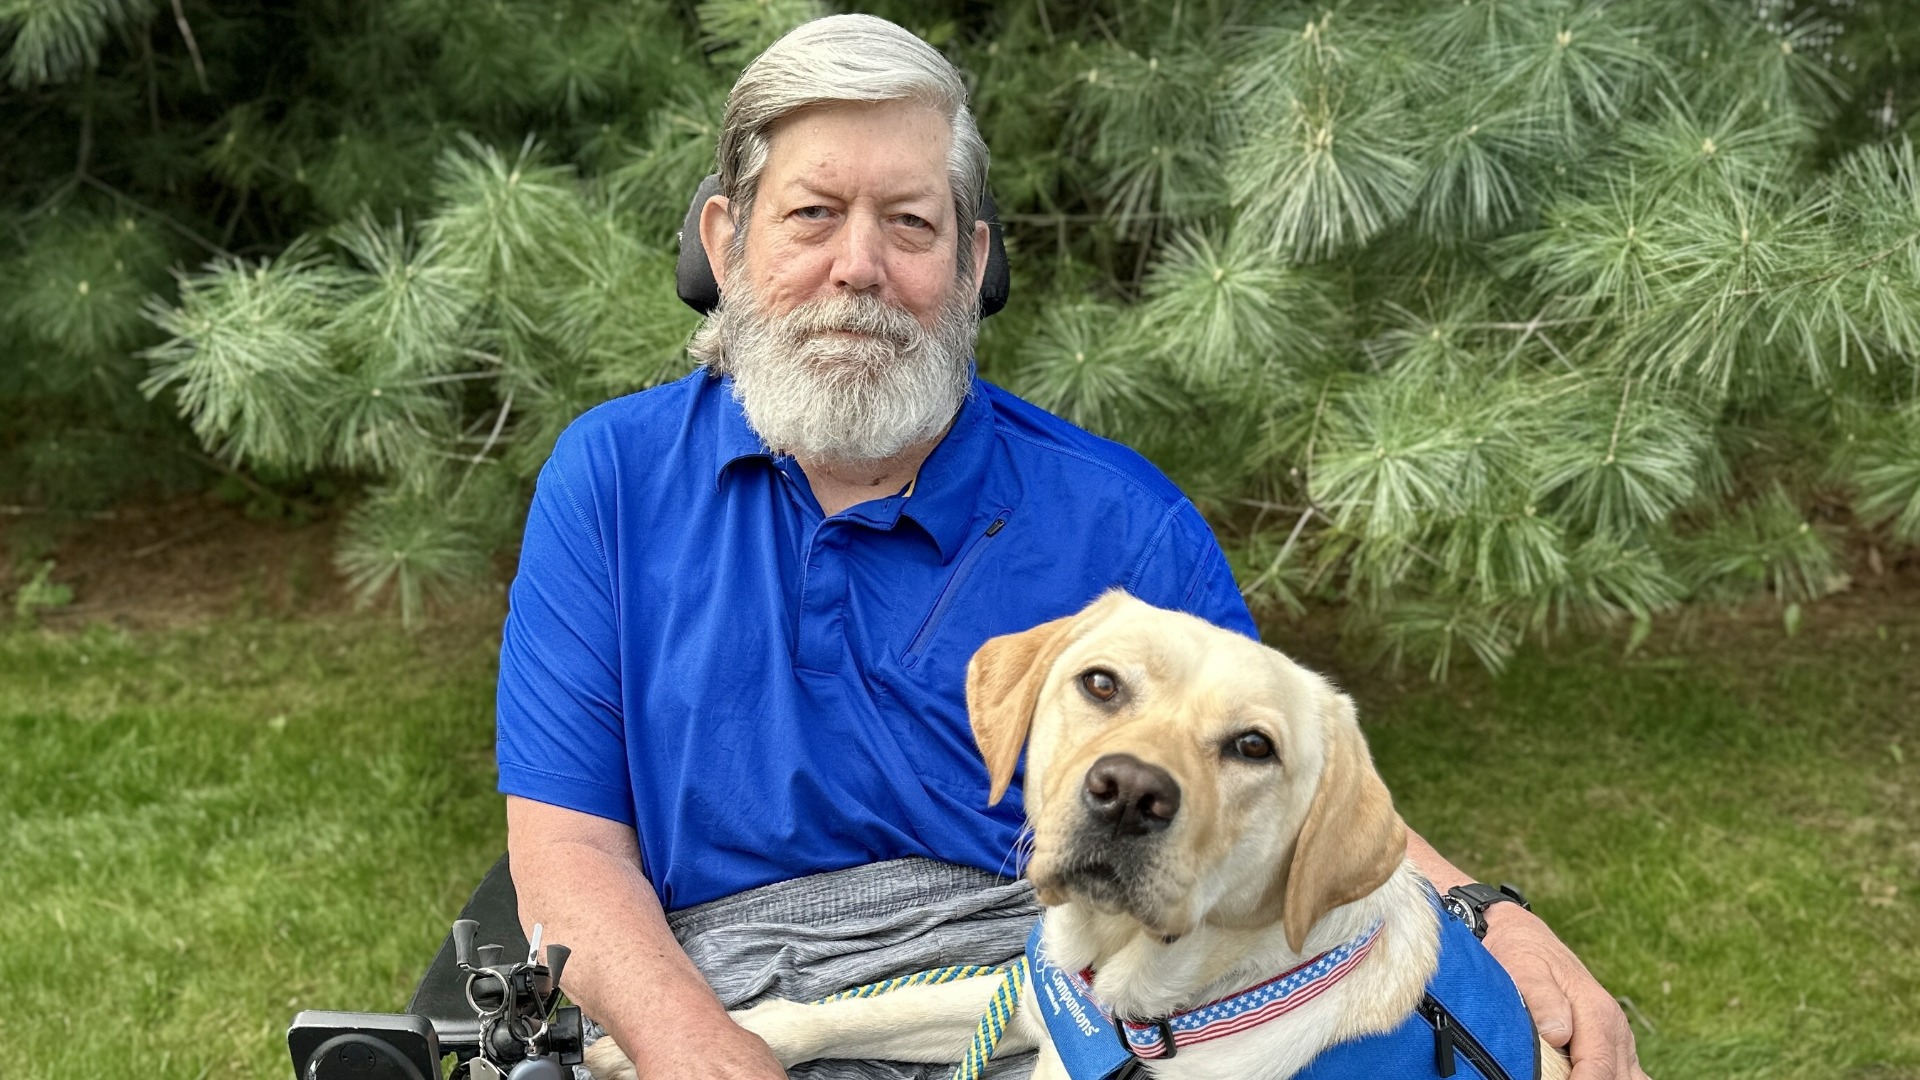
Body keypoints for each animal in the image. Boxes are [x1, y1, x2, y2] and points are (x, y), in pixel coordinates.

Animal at [586, 591, 1570, 1079]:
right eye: (1101, 683)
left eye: (1253, 746)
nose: (1129, 793)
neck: (1141, 1016)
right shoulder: (1025, 1002)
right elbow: (855, 1010)